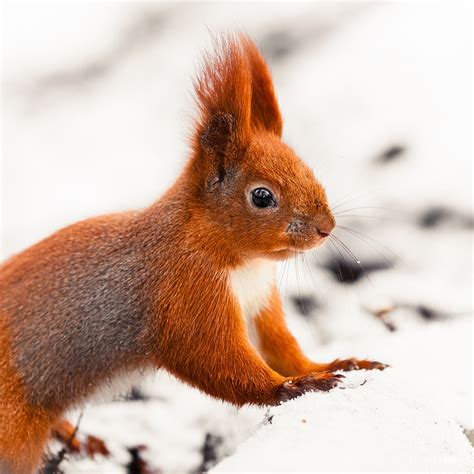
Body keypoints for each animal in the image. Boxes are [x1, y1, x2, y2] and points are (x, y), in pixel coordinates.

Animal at [0, 35, 386, 472]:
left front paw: (334, 366)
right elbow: (213, 359)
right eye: (262, 196)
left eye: (307, 169)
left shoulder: (259, 299)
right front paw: (293, 386)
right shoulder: (187, 294)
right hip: (13, 425)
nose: (326, 227)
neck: (244, 263)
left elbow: (281, 347)